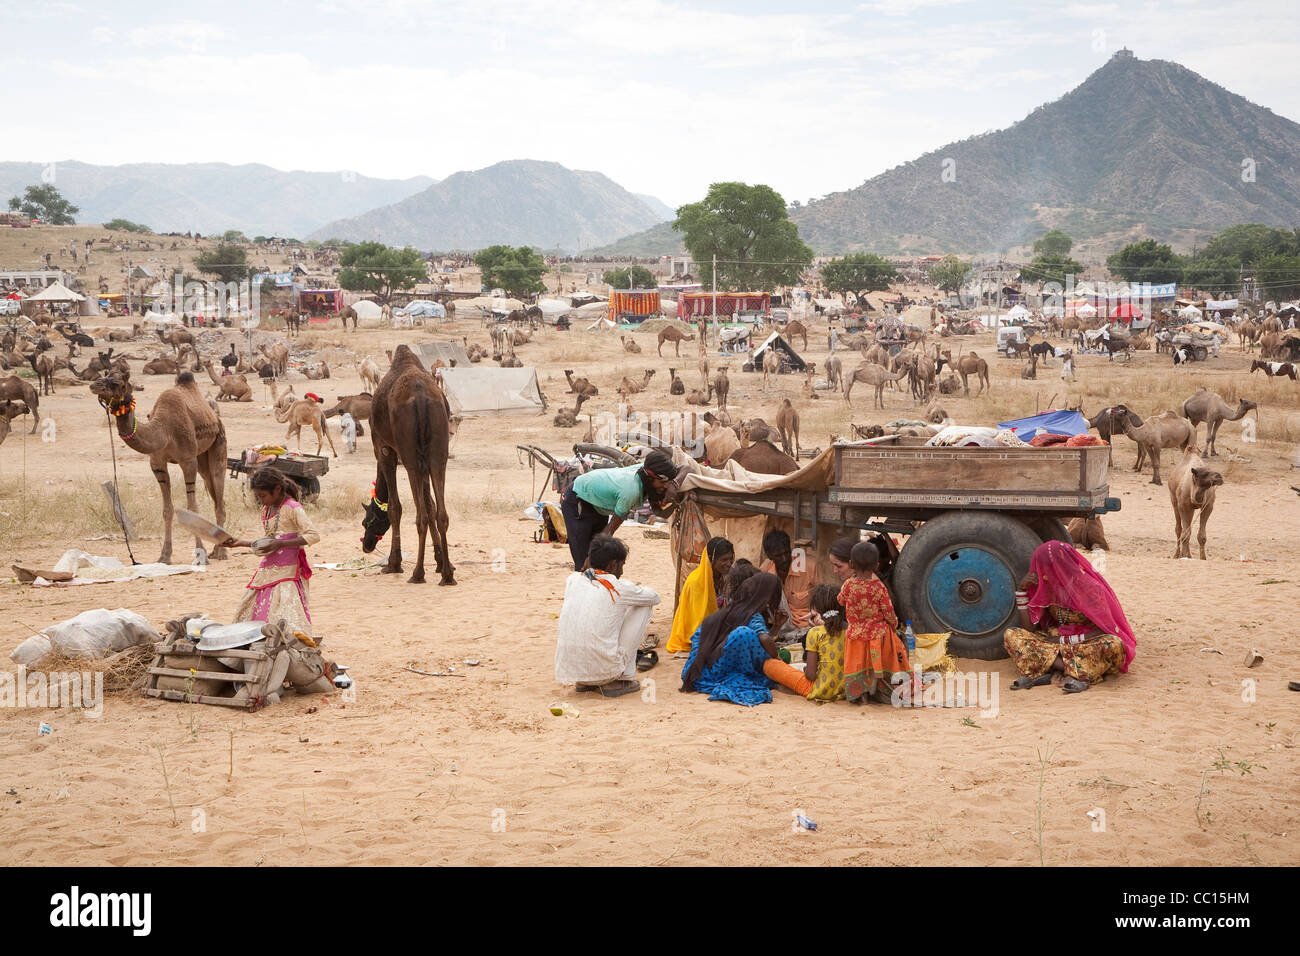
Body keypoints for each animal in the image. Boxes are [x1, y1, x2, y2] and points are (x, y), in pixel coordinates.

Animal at [87, 369, 228, 564]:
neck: (164, 430)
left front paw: (201, 554)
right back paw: (216, 550)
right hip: (202, 459)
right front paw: (164, 555)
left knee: (218, 484)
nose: (94, 384)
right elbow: (167, 510)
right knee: (212, 488)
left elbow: (192, 508)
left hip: (218, 442)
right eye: (105, 375)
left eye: (117, 383)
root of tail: (215, 416)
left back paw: (221, 552)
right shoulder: (158, 464)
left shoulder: (188, 461)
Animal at [366, 343, 457, 582]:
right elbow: (431, 504)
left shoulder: (384, 450)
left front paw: (393, 563)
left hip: (410, 456)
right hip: (437, 454)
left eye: (368, 519)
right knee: (441, 513)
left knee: (420, 515)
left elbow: (394, 507)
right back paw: (447, 575)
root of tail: (421, 397)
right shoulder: (425, 458)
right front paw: (441, 561)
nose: (366, 545)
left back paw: (417, 573)